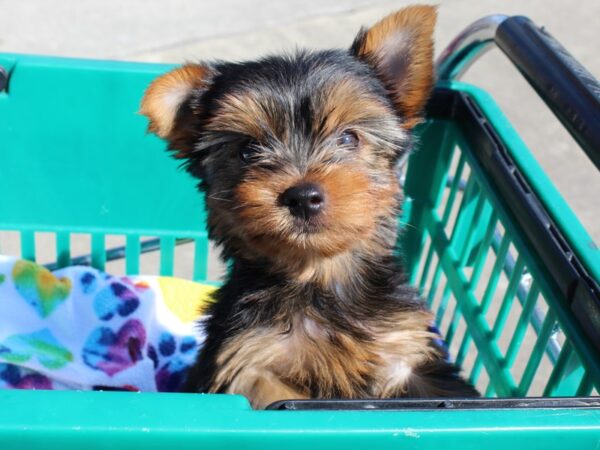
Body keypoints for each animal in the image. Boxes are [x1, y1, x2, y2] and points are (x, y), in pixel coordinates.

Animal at [139, 5, 478, 410]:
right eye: (247, 150)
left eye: (348, 138)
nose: (302, 196)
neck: (318, 276)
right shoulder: (251, 359)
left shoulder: (407, 350)